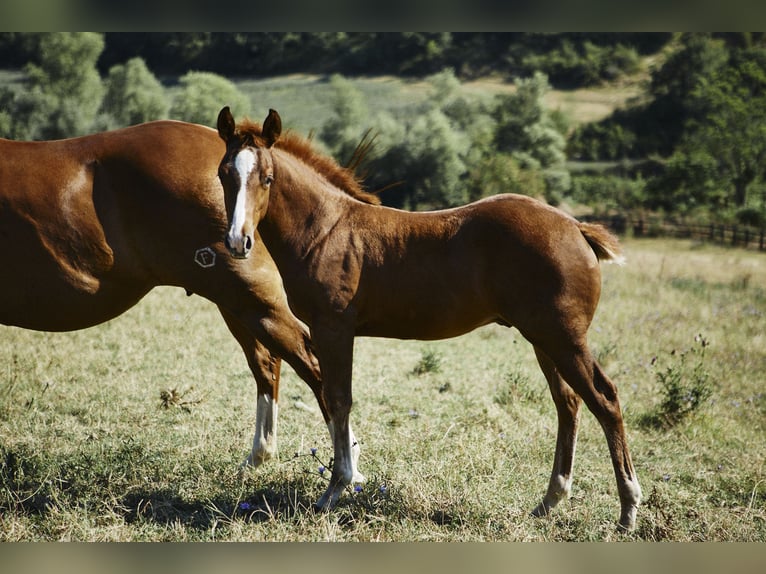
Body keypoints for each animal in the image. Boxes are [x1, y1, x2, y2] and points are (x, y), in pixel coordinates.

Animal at [0, 119, 364, 480]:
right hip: (238, 304)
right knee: (268, 364)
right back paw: (262, 455)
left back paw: (348, 468)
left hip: (252, 301)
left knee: (310, 365)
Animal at [219, 107, 644, 532]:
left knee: (604, 399)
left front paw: (334, 490)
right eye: (224, 174)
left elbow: (338, 399)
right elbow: (335, 397)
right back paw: (550, 501)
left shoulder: (334, 329)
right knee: (568, 402)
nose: (238, 241)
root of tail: (576, 228)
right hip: (543, 338)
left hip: (563, 337)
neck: (325, 229)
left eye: (267, 177)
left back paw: (627, 511)